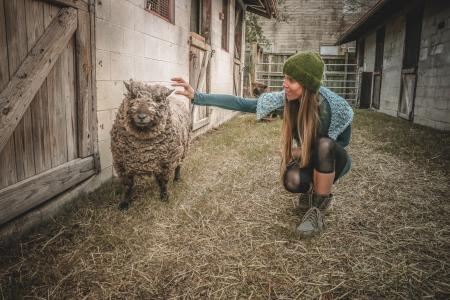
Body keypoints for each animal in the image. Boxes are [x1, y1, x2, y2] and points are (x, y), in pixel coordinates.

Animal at [112, 81, 192, 210]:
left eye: (158, 99)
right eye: (133, 96)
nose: (142, 116)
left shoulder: (166, 162)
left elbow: (164, 182)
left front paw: (164, 197)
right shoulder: (122, 163)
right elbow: (127, 185)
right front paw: (124, 203)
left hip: (183, 147)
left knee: (179, 165)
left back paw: (177, 179)